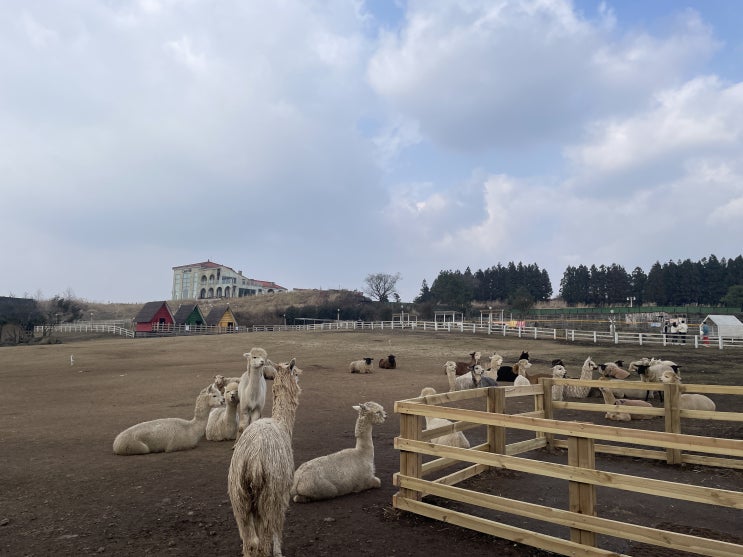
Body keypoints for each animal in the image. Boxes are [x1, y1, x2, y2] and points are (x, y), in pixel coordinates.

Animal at [228, 359, 302, 557]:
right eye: (295, 373)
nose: (300, 373)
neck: (282, 424)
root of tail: (252, 462)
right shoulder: (282, 494)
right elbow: (278, 527)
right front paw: (278, 551)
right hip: (268, 494)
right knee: (263, 540)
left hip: (240, 498)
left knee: (250, 542)